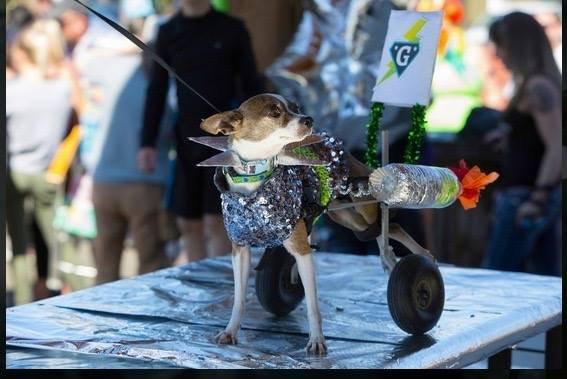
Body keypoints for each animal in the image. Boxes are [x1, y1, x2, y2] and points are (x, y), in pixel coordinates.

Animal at [199, 93, 430, 354]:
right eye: (274, 112)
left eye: (296, 107)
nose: (308, 119)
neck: (254, 179)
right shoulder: (240, 250)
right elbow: (238, 299)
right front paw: (230, 331)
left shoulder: (301, 251)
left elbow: (313, 305)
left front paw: (317, 340)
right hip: (345, 215)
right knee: (378, 230)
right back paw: (387, 257)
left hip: (361, 206)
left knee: (387, 222)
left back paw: (415, 255)